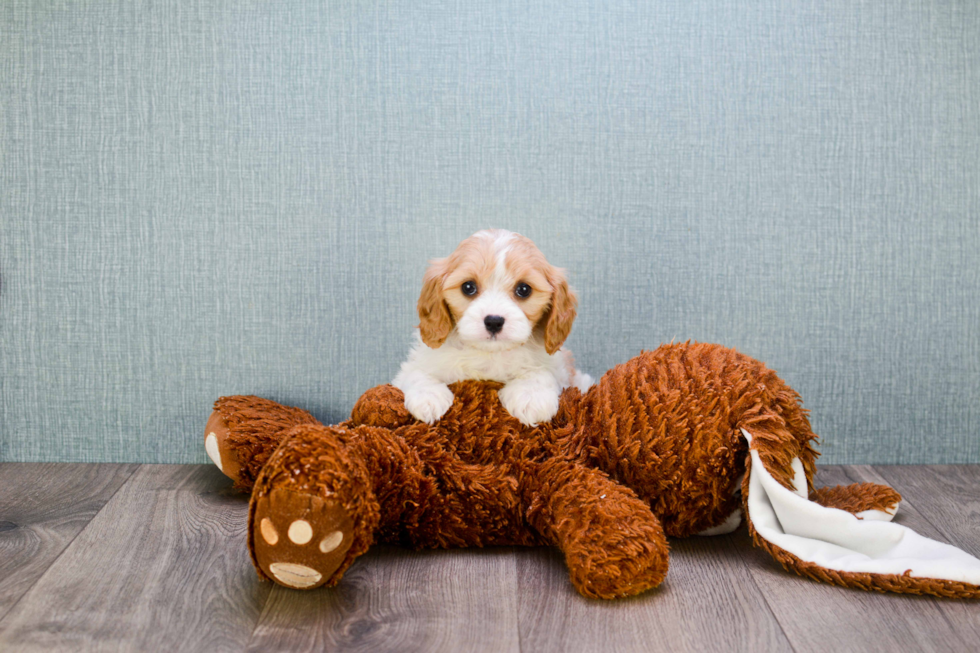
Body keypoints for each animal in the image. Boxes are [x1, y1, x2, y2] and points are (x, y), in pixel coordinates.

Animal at [392, 229, 592, 428]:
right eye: (468, 287)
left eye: (524, 289)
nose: (494, 321)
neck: (489, 354)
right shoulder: (417, 364)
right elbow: (417, 372)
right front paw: (428, 397)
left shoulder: (560, 369)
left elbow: (541, 372)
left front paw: (531, 396)